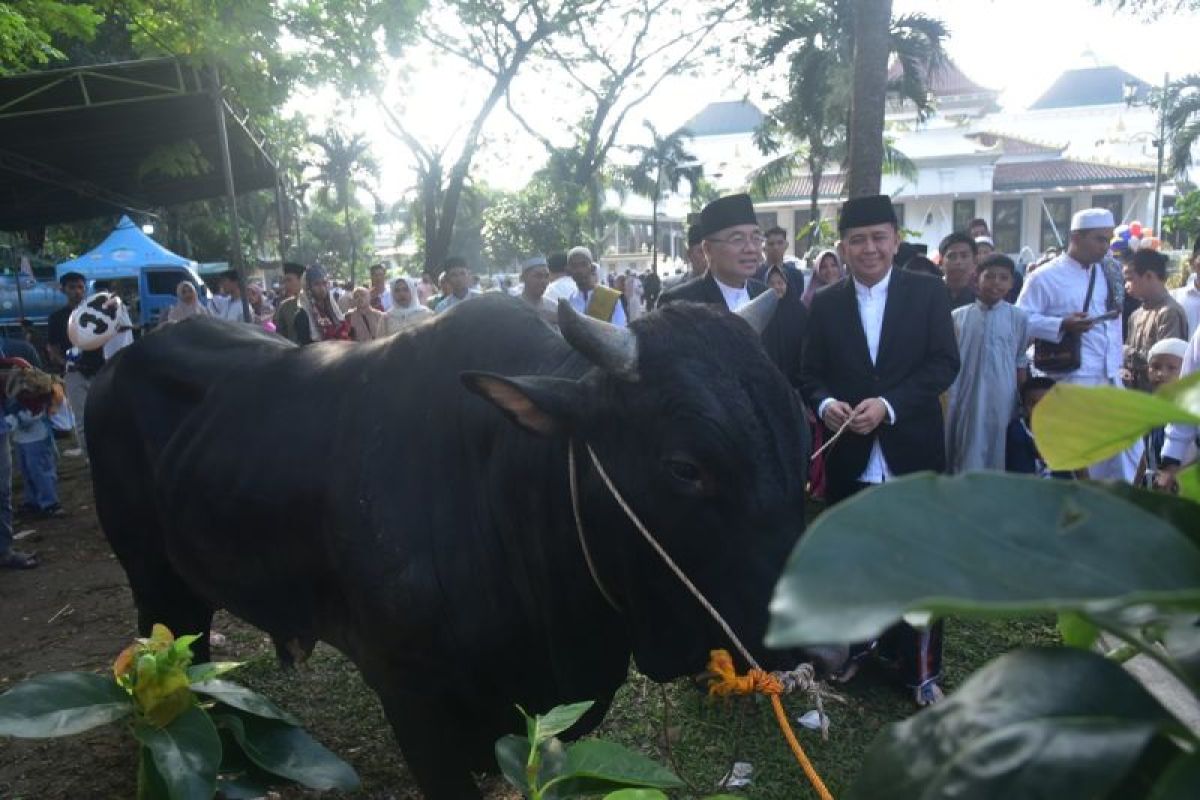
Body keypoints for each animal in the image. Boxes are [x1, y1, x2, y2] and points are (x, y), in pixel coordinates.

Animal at [88, 297, 811, 796]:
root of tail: (120, 362)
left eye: (800, 435)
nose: (819, 632)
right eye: (685, 467)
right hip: (152, 576)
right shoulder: (412, 697)